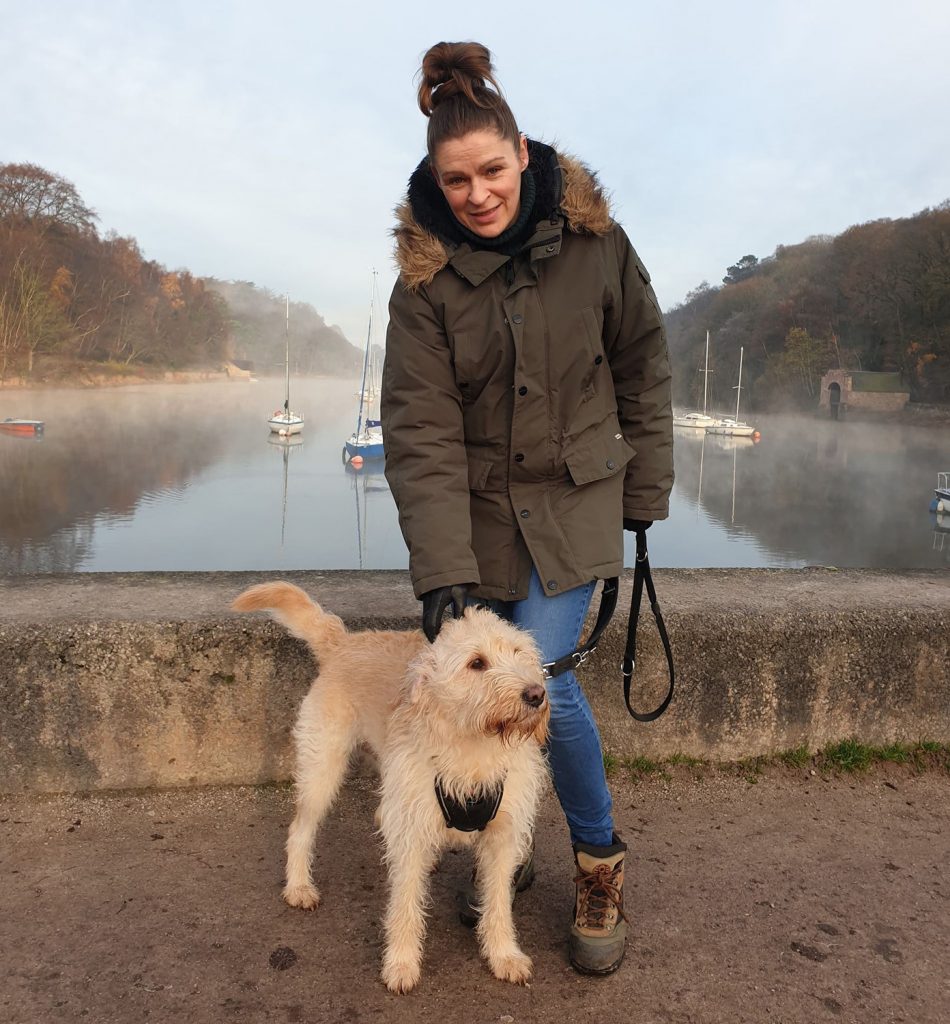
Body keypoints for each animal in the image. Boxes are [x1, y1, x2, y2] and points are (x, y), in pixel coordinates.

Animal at [231, 585, 552, 991]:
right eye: (477, 663)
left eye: (519, 652)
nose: (536, 694)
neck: (474, 746)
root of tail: (344, 641)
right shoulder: (411, 834)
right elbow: (405, 902)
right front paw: (401, 963)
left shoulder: (503, 837)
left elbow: (497, 902)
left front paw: (504, 955)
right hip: (322, 770)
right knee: (300, 829)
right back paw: (299, 886)